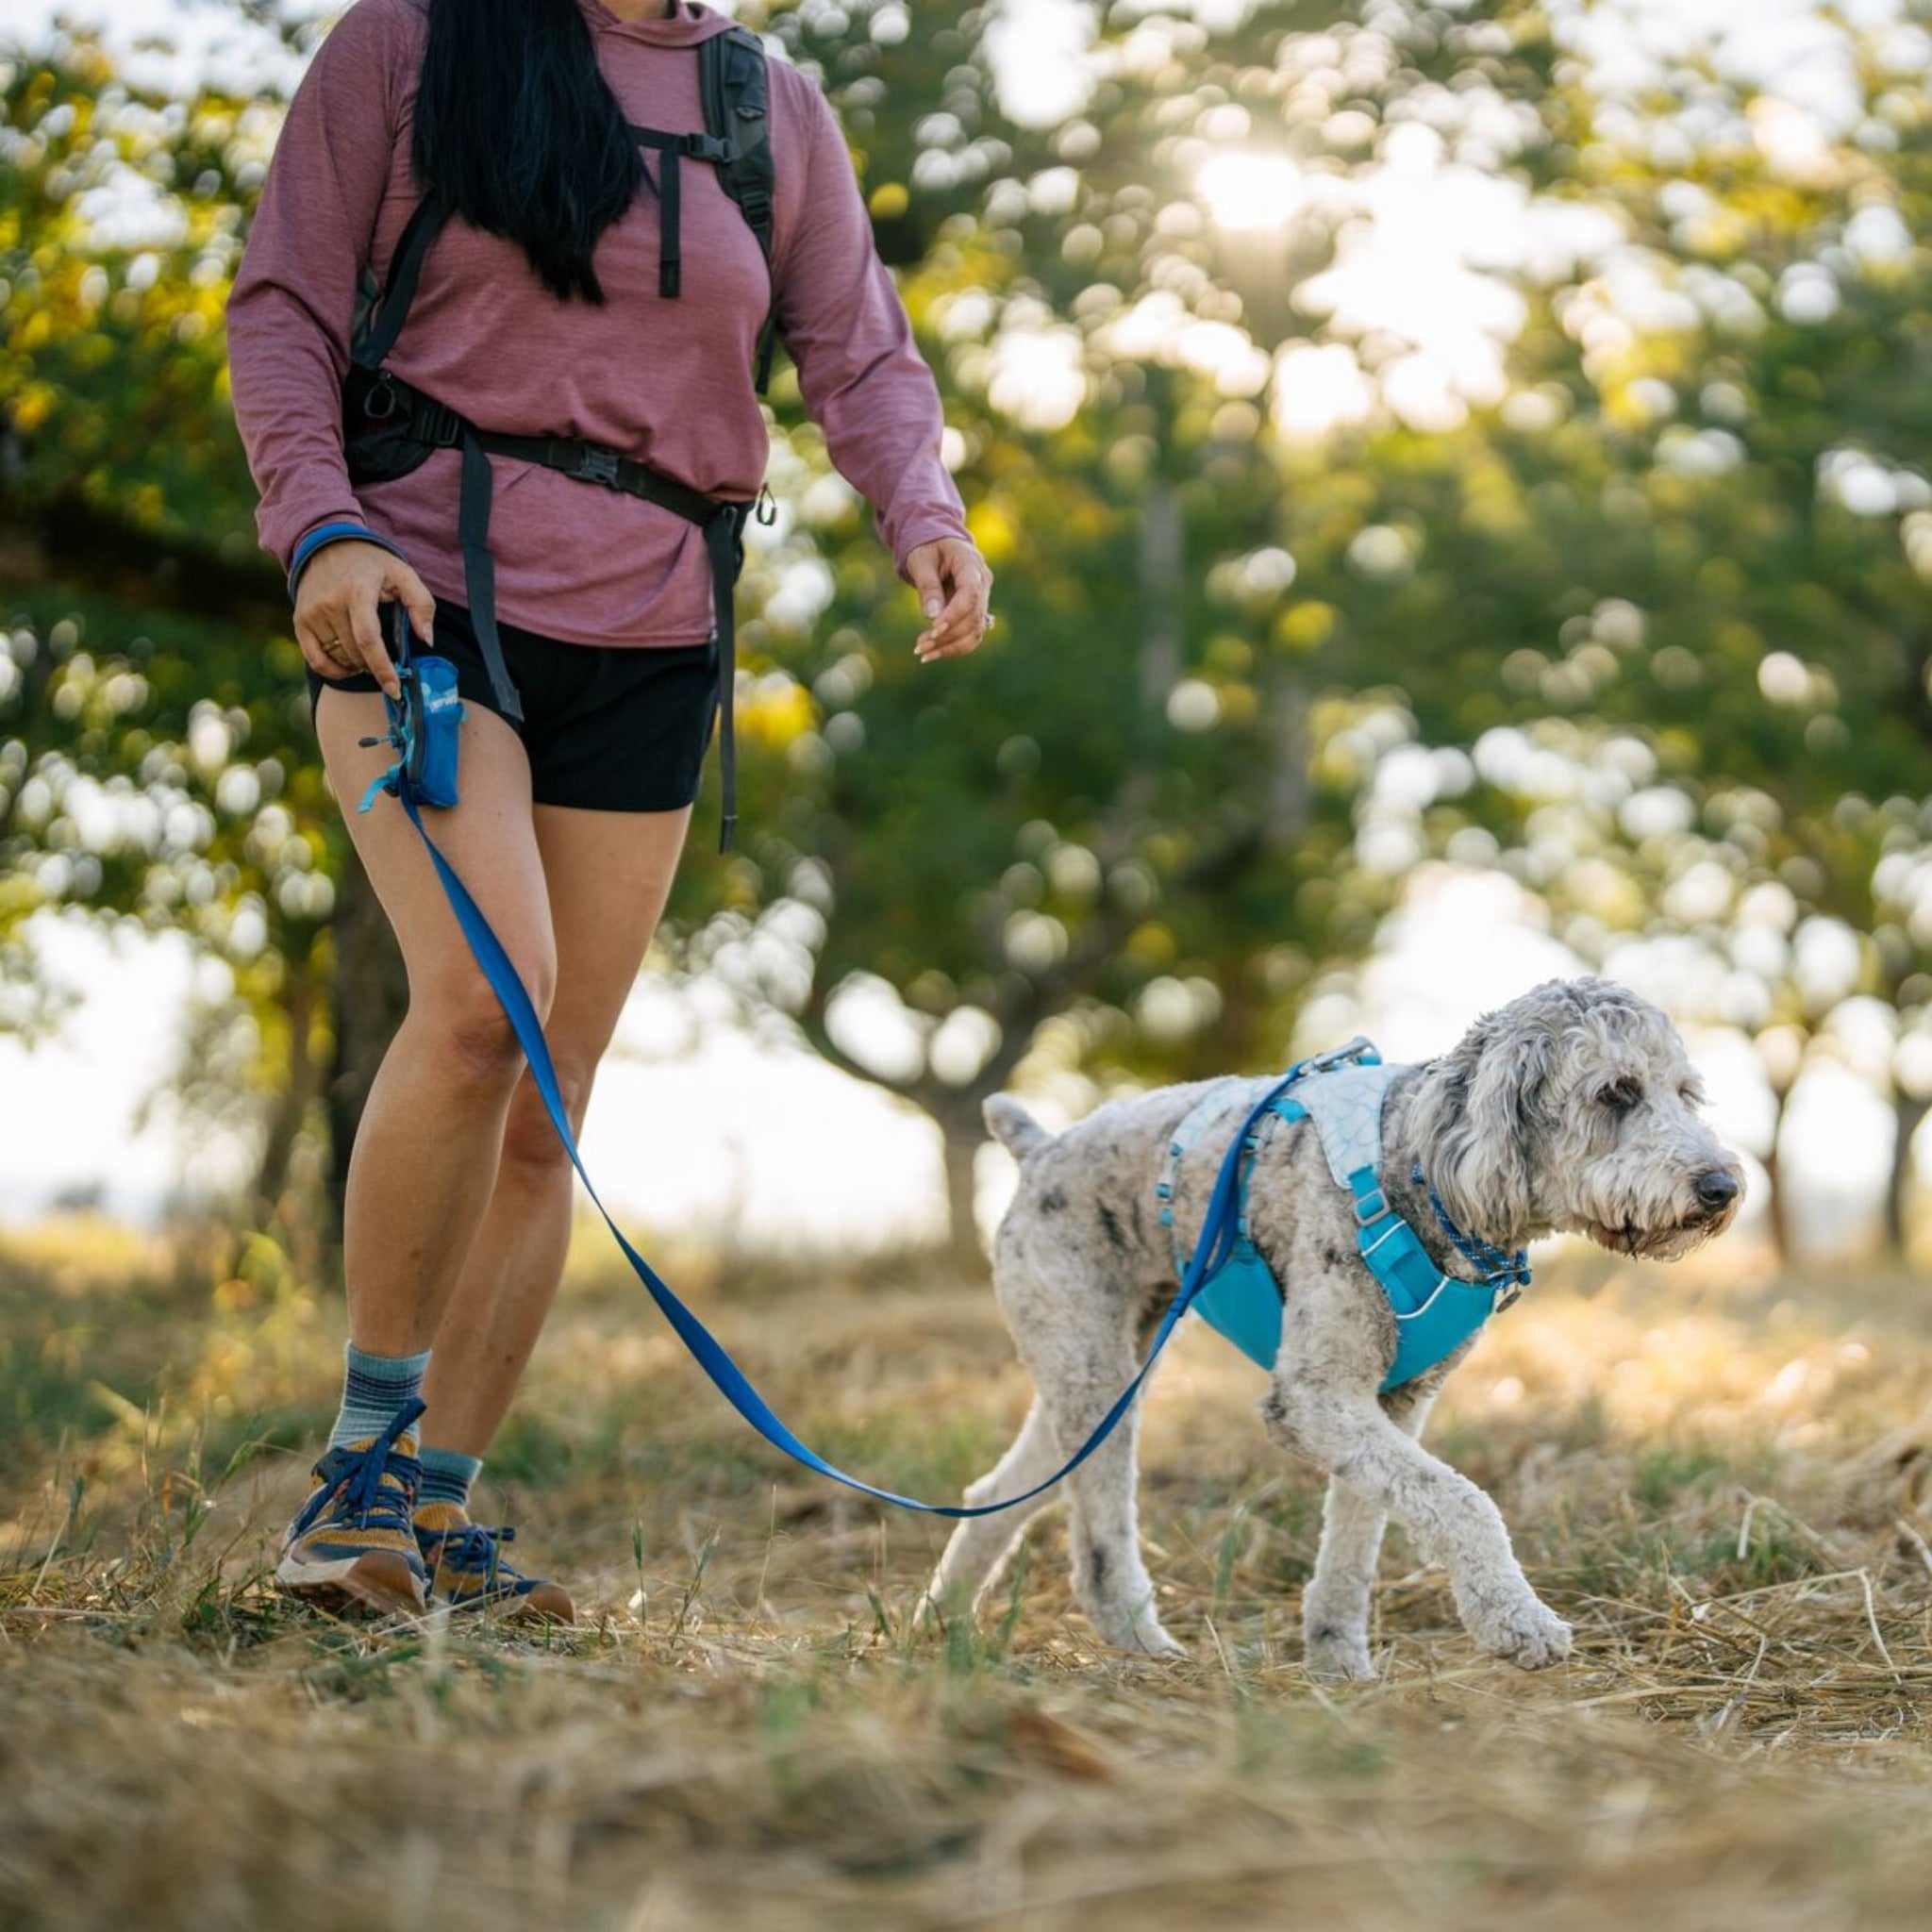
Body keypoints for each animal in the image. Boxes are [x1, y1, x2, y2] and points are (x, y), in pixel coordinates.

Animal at [927, 981, 1746, 1676]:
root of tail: (1039, 1148)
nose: (1723, 1188)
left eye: (1685, 1092)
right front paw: (1517, 1622)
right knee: (1098, 1537)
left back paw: (940, 1623)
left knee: (998, 1493)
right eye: (1616, 1093)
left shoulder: (1392, 1405)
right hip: (1096, 1373)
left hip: (1102, 1372)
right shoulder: (1315, 1398)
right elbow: (1464, 1503)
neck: (1418, 1170)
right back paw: (1141, 1647)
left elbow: (1362, 1538)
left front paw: (1339, 1665)